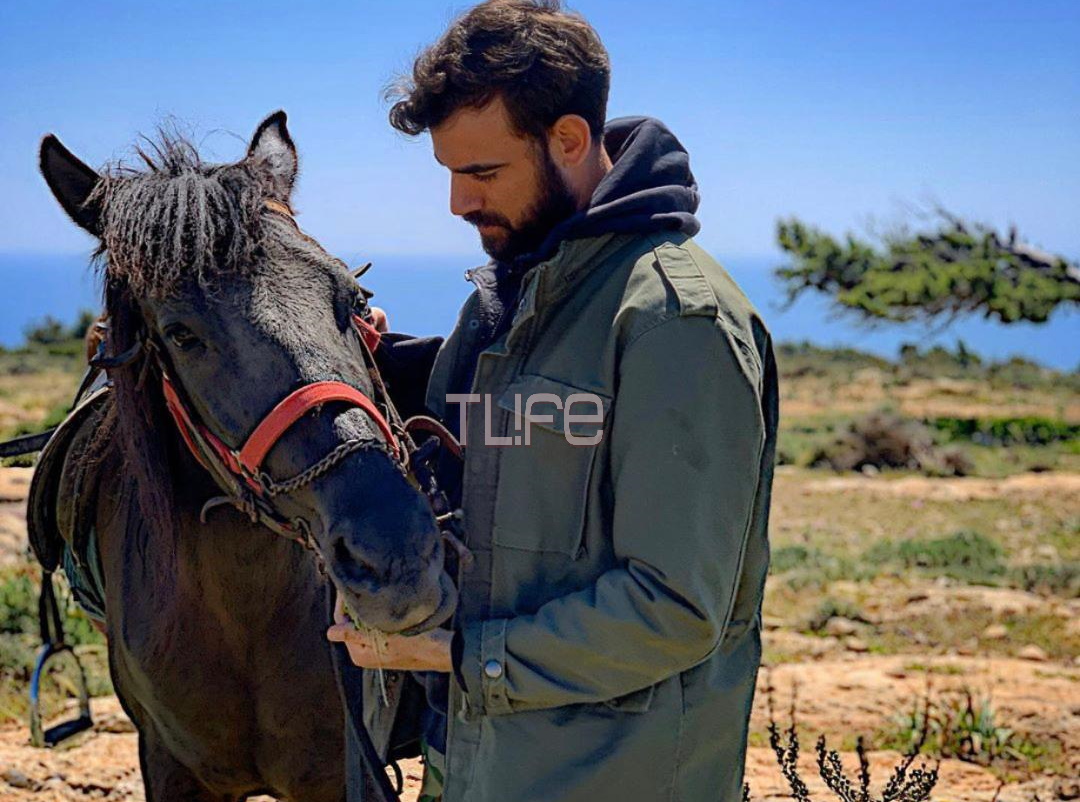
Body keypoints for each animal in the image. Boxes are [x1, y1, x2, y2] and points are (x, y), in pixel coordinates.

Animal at [29, 109, 451, 798]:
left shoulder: (338, 772)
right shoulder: (170, 766)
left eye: (352, 300)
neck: (244, 616)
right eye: (180, 334)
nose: (395, 553)